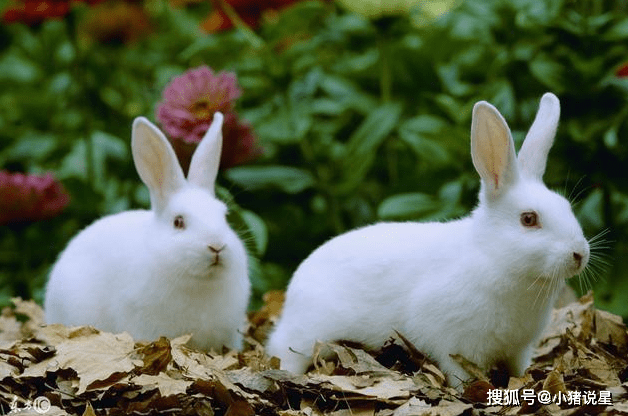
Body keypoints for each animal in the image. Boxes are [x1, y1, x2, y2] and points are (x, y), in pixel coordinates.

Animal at [264, 92, 588, 388]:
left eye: (566, 207)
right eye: (529, 219)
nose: (579, 254)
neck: (493, 256)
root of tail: (293, 292)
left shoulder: (518, 349)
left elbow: (519, 368)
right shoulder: (456, 344)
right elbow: (460, 376)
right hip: (305, 336)